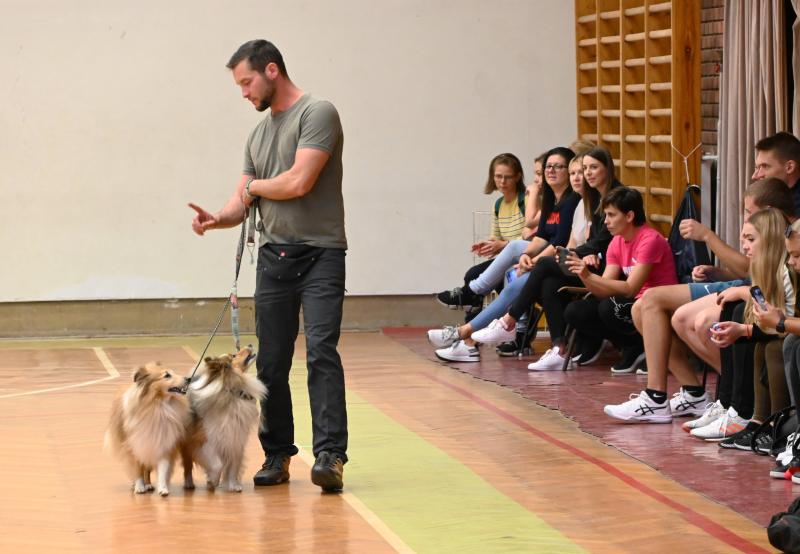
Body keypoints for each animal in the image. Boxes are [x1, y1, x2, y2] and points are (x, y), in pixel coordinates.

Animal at [105, 360, 191, 494]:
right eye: (167, 375)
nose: (188, 378)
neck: (158, 405)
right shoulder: (134, 445)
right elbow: (137, 469)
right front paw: (140, 487)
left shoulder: (163, 442)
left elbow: (163, 468)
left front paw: (163, 489)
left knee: (147, 469)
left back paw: (149, 484)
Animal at [182, 344, 268, 492]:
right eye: (233, 355)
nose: (250, 344)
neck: (232, 391)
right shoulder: (206, 440)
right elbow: (217, 464)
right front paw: (212, 481)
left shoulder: (235, 439)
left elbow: (233, 466)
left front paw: (233, 485)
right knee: (188, 465)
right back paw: (189, 484)